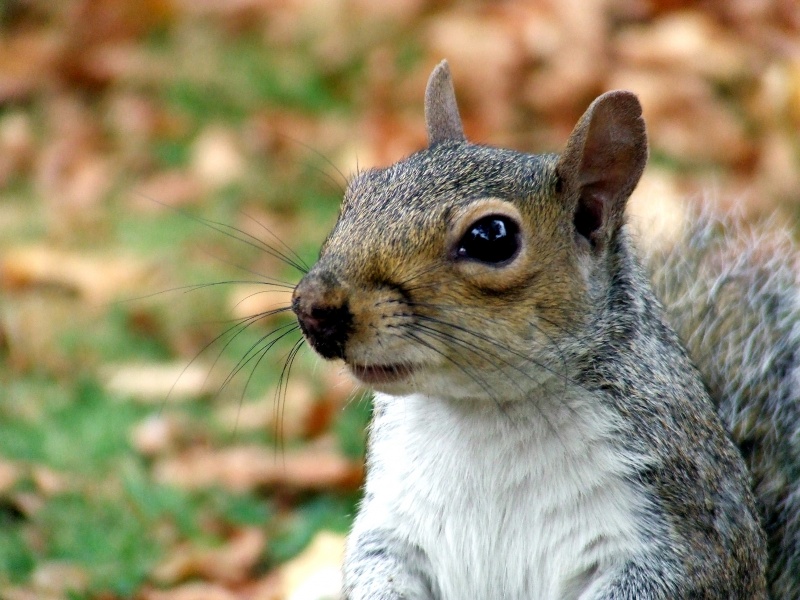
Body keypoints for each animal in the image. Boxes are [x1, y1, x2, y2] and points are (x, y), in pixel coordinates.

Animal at [290, 62, 800, 600]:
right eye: (355, 196)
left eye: (492, 237)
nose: (311, 307)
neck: (485, 414)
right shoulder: (392, 523)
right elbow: (375, 562)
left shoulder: (676, 529)